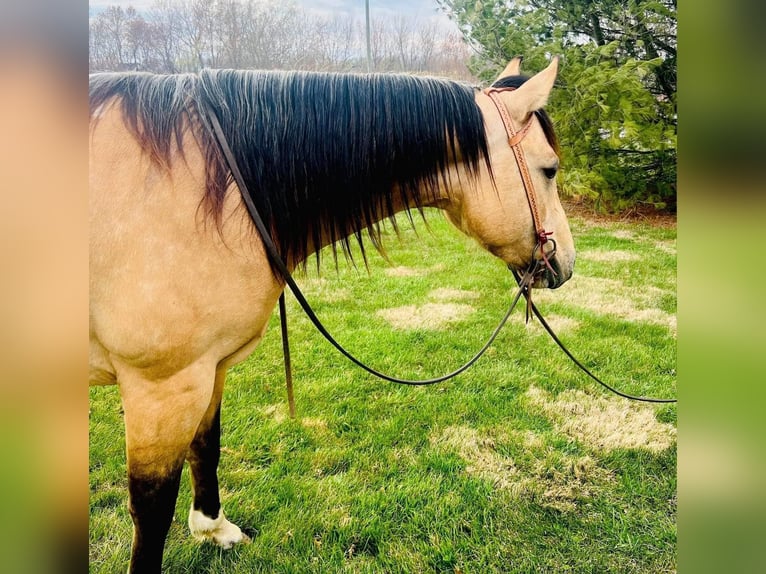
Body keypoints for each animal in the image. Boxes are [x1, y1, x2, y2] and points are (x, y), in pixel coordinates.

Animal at [90, 59, 576, 574]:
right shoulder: (163, 387)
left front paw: (213, 529)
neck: (214, 187)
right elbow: (152, 506)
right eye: (549, 169)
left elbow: (207, 445)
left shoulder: (208, 369)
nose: (566, 262)